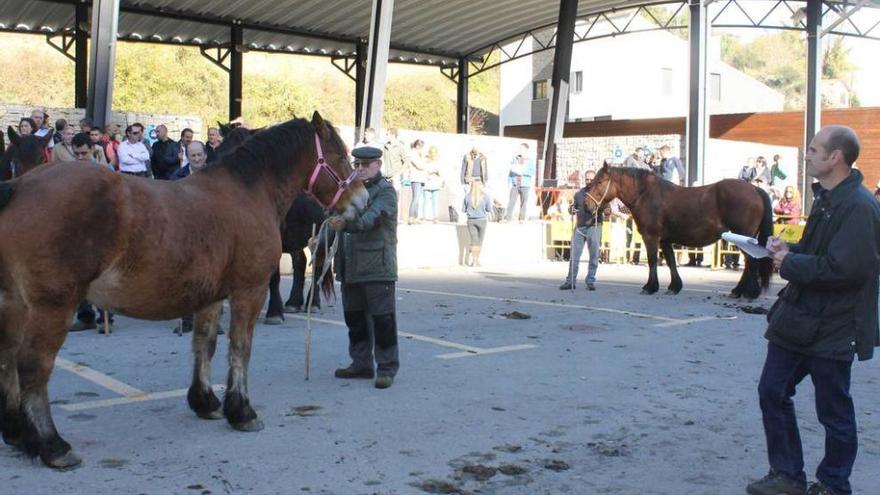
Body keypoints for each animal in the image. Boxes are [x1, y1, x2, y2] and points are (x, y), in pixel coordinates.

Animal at [0, 111, 368, 468]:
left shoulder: (211, 297)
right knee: (34, 366)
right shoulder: (248, 290)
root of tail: (19, 187)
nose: (362, 198)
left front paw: (205, 401)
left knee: (8, 359)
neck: (248, 192)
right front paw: (241, 411)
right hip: (52, 307)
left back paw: (18, 433)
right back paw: (52, 446)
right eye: (339, 153)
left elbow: (204, 344)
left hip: (14, 305)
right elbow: (240, 347)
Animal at [584, 165, 768, 298]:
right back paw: (738, 292)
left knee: (751, 262)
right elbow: (671, 261)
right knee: (750, 264)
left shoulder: (651, 237)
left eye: (599, 182)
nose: (587, 204)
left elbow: (652, 261)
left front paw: (650, 287)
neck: (646, 195)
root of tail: (754, 189)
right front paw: (674, 286)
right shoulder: (665, 240)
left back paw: (750, 293)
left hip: (743, 238)